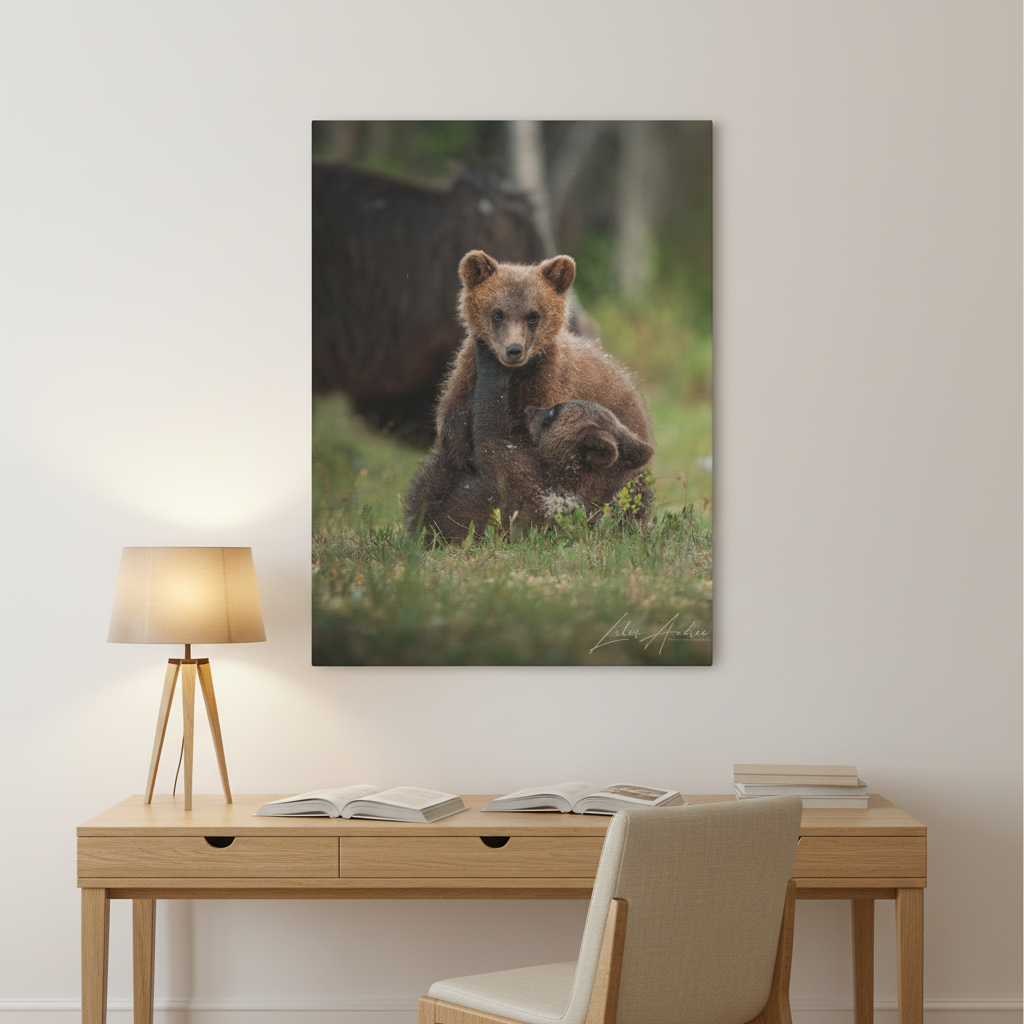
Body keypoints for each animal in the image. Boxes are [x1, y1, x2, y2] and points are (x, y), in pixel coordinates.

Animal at [433, 250, 653, 474]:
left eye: (533, 316)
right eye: (497, 314)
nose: (514, 350)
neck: (513, 374)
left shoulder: (548, 383)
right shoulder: (469, 373)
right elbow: (454, 419)